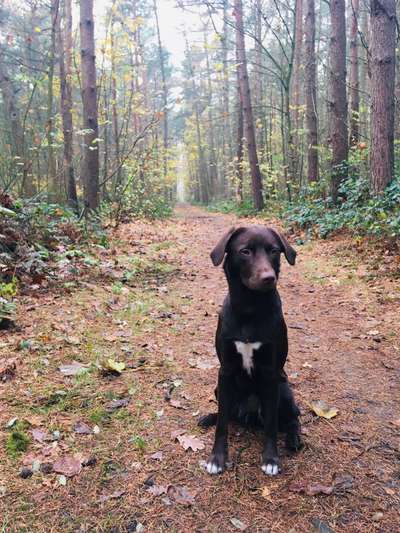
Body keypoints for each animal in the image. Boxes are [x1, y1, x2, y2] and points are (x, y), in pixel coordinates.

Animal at [200, 224, 304, 474]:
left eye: (274, 251)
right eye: (245, 251)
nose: (269, 278)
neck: (250, 308)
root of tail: (249, 415)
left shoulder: (270, 374)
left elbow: (272, 427)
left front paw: (271, 459)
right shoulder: (225, 371)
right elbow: (222, 425)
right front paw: (217, 458)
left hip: (284, 391)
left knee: (291, 419)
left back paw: (294, 439)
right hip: (220, 390)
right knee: (227, 415)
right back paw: (210, 417)